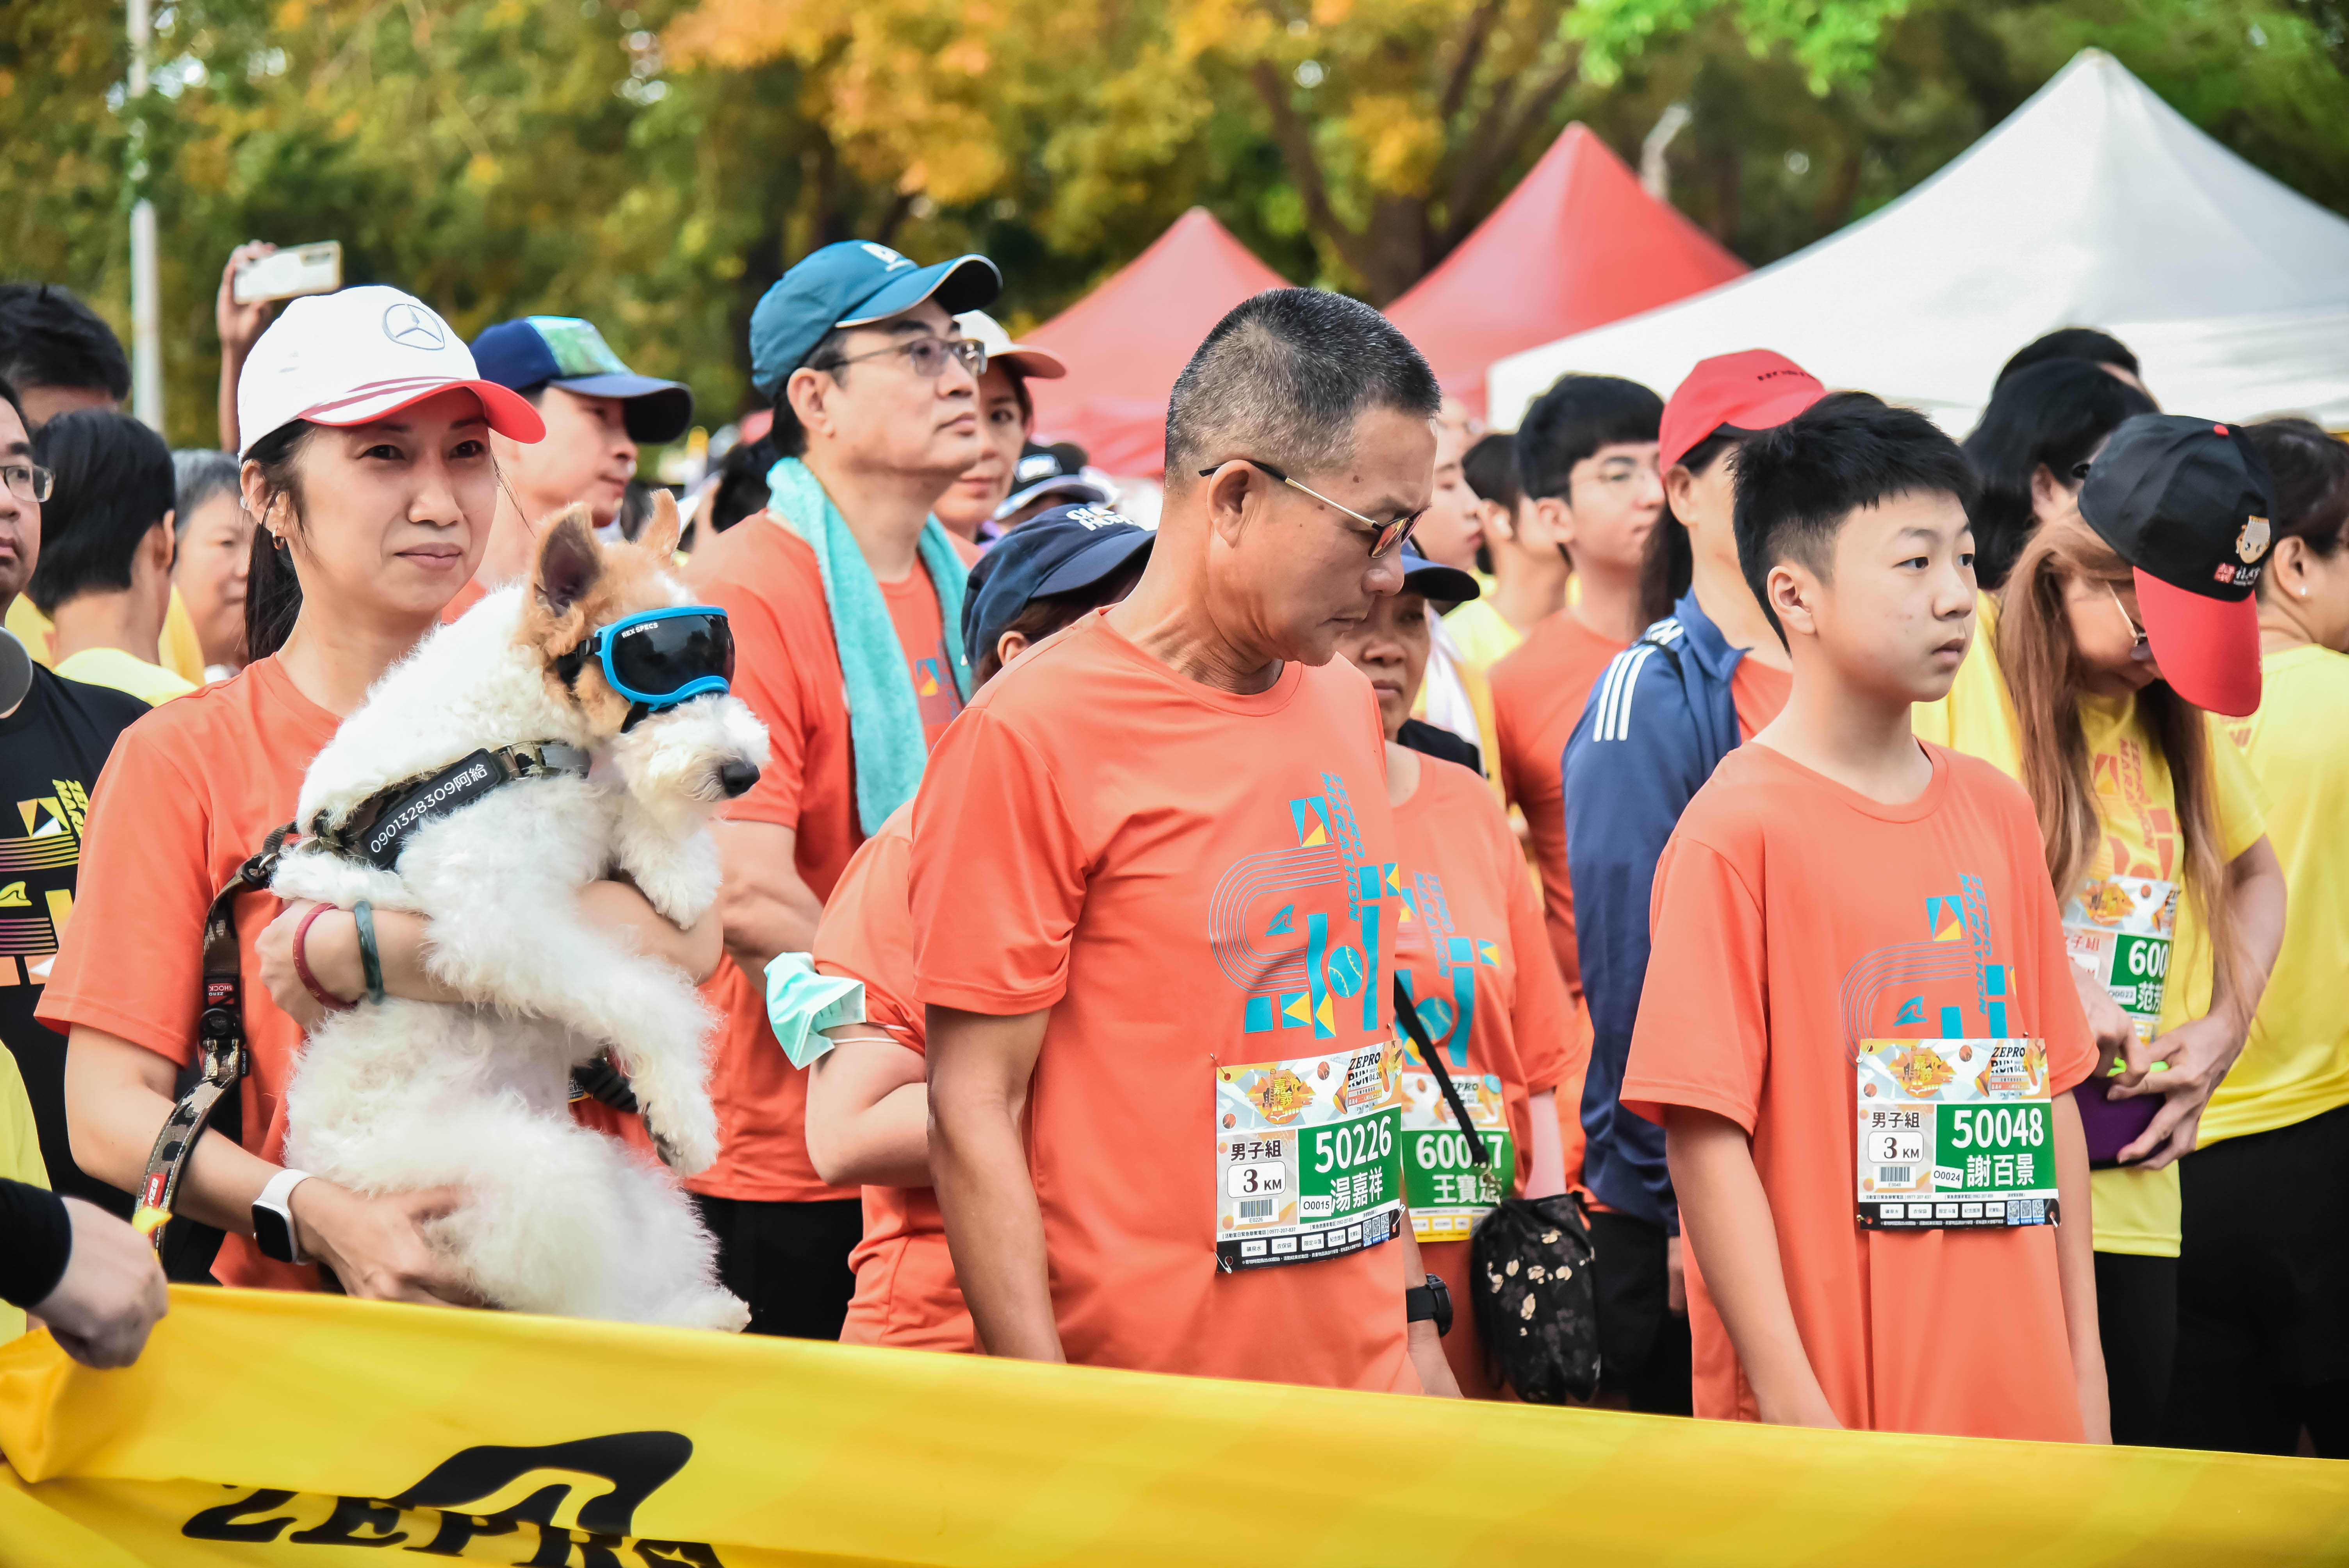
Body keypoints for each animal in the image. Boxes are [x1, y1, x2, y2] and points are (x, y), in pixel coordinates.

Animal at [272, 496, 765, 1329]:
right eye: (650, 665)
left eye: (716, 655)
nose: (742, 773)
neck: (515, 733)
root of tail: (327, 1164)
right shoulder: (497, 920)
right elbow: (647, 998)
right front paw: (685, 1122)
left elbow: (626, 809)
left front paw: (674, 870)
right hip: (530, 1174)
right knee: (578, 1308)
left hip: (623, 1186)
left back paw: (704, 1313)